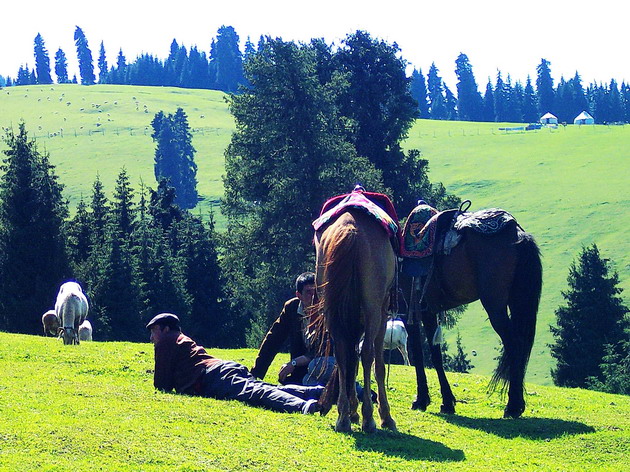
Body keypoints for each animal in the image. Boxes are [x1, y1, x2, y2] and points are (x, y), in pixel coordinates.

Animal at [316, 208, 400, 434]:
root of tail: (350, 229)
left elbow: (350, 359)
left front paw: (351, 411)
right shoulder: (382, 312)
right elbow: (378, 364)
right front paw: (385, 416)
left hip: (333, 308)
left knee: (341, 354)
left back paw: (343, 418)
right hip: (373, 308)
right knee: (368, 354)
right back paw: (369, 419)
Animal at [404, 218, 544, 416]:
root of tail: (518, 234)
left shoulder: (412, 310)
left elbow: (420, 352)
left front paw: (424, 399)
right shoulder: (427, 311)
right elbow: (434, 353)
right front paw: (446, 401)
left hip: (495, 307)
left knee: (514, 344)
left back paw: (513, 405)